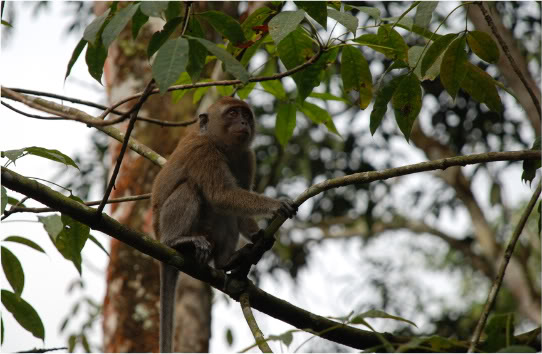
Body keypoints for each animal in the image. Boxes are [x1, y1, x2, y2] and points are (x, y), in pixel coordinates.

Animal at [152, 95, 298, 352]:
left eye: (246, 115)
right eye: (232, 113)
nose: (243, 122)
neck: (220, 144)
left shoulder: (247, 157)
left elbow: (237, 209)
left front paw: (259, 237)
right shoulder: (204, 151)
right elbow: (221, 194)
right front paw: (275, 205)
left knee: (225, 215)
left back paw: (226, 261)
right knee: (191, 189)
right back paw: (177, 242)